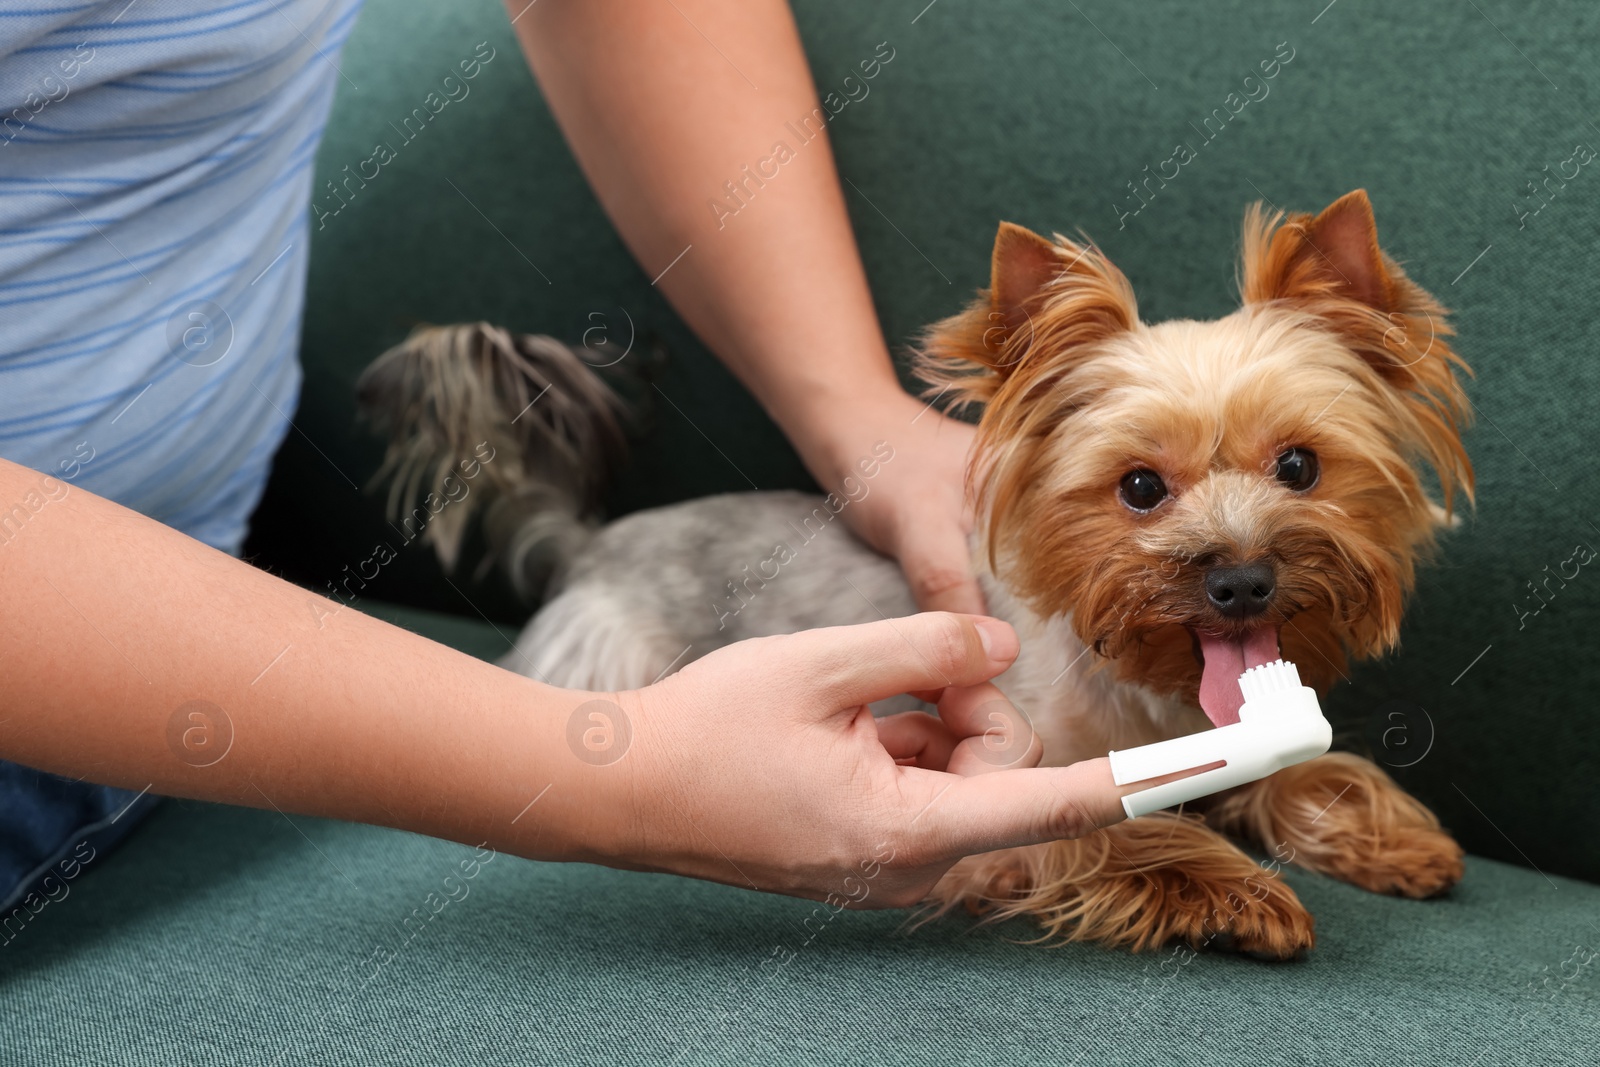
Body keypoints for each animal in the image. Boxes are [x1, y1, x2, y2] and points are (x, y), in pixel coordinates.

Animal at [363, 189, 1472, 959]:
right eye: (1139, 486)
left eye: (1301, 466)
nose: (1241, 579)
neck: (1152, 681)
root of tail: (590, 540)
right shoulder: (1001, 801)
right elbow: (1108, 831)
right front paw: (1233, 888)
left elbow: (1302, 764)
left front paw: (1388, 833)